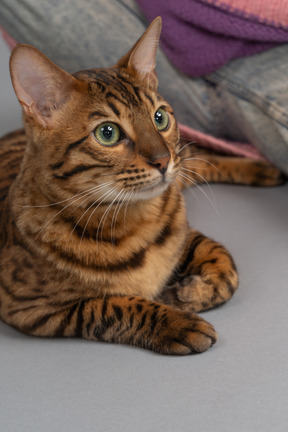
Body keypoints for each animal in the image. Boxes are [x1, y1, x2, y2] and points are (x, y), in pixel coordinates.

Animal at [0, 17, 284, 354]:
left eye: (159, 118)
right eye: (107, 133)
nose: (163, 160)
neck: (131, 222)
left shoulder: (184, 231)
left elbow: (225, 263)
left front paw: (191, 294)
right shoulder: (34, 309)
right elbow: (112, 305)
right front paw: (177, 322)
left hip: (185, 158)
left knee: (201, 158)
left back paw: (264, 167)